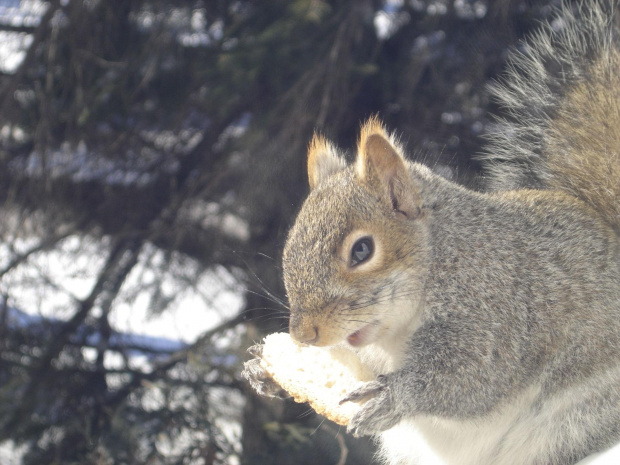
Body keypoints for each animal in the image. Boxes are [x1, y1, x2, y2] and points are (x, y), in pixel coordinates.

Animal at [246, 1, 620, 462]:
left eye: (362, 250)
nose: (304, 334)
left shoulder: (497, 314)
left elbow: (473, 374)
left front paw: (396, 395)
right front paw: (264, 366)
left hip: (571, 421)